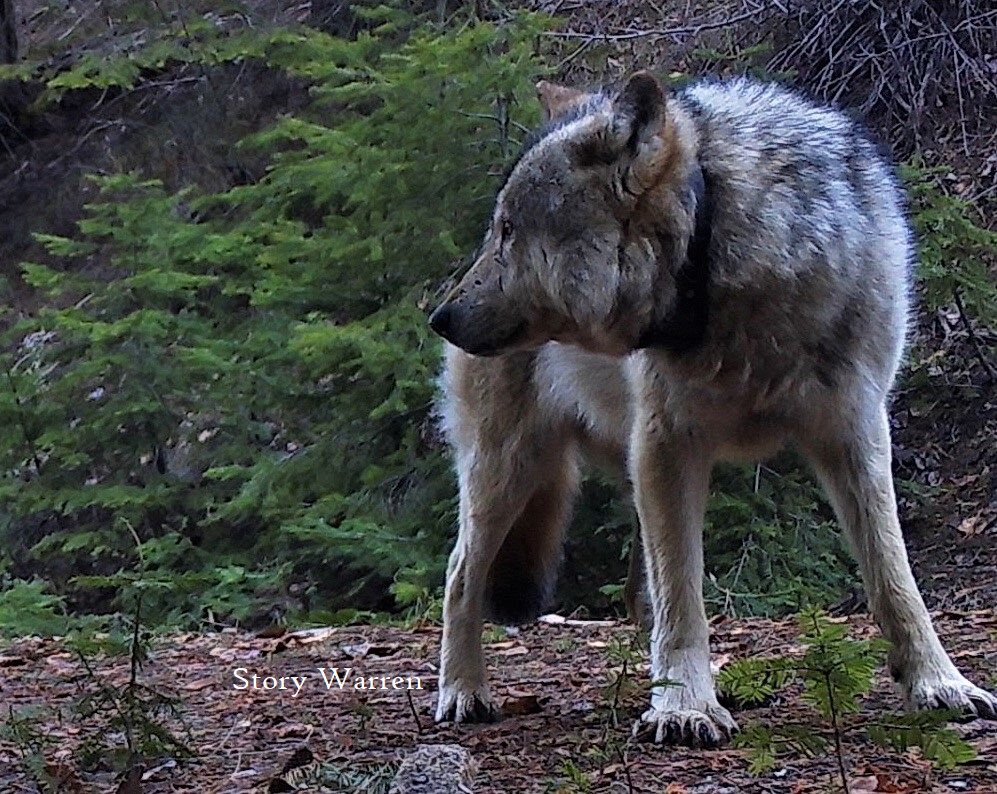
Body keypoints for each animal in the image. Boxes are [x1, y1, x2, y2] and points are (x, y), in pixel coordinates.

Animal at [427, 71, 997, 747]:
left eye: (511, 229)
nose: (439, 317)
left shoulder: (856, 432)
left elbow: (895, 576)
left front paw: (940, 684)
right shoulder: (667, 446)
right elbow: (683, 596)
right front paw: (685, 708)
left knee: (631, 593)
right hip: (510, 467)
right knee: (461, 574)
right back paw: (462, 692)